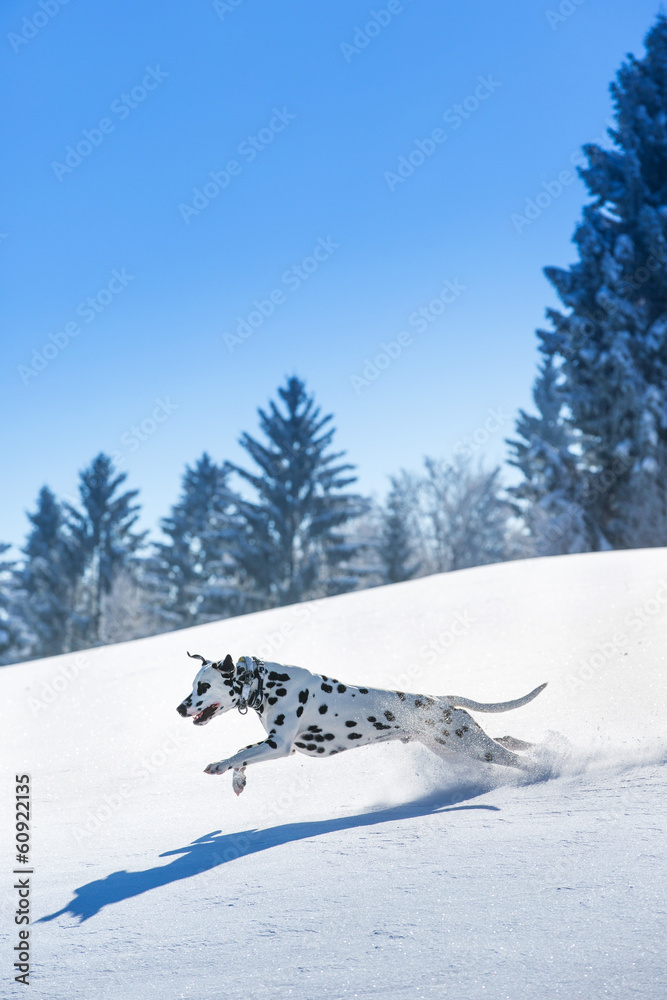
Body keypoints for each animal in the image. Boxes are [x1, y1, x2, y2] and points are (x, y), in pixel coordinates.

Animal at [176, 656, 548, 796]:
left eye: (203, 686)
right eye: (193, 684)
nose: (179, 708)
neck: (266, 683)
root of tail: (440, 700)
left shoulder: (277, 745)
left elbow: (239, 751)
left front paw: (220, 765)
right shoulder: (275, 745)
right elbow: (243, 757)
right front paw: (237, 779)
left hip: (475, 748)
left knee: (517, 759)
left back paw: (546, 768)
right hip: (456, 749)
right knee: (508, 740)